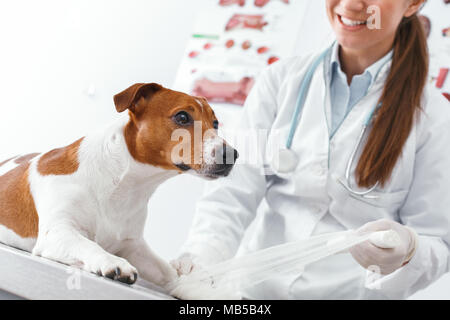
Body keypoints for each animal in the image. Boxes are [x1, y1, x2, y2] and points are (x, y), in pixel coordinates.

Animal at [0, 83, 239, 292]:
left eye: (215, 123)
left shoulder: (133, 246)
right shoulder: (58, 232)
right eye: (182, 117)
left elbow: (166, 270)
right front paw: (111, 261)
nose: (232, 154)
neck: (125, 184)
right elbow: (89, 245)